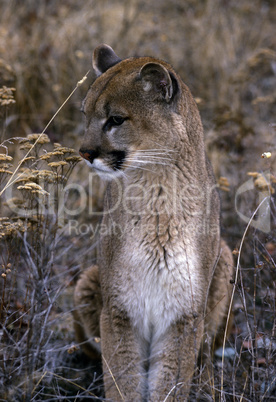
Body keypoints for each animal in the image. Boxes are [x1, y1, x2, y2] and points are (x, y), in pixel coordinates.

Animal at [74, 42, 233, 400]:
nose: (85, 152)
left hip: (226, 258)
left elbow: (169, 382)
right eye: (85, 115)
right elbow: (123, 381)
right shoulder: (119, 311)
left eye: (116, 119)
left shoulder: (184, 315)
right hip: (88, 280)